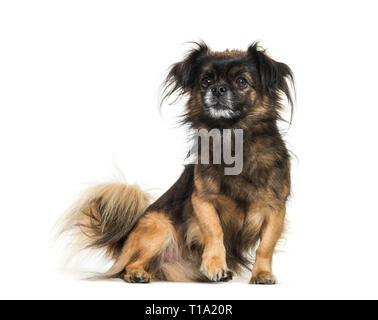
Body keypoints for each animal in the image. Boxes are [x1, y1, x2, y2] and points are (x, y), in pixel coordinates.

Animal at [59, 41, 296, 284]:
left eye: (241, 81)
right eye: (205, 81)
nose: (218, 88)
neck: (232, 138)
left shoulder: (276, 208)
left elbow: (265, 246)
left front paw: (262, 274)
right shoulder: (202, 200)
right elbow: (214, 230)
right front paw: (215, 265)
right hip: (159, 226)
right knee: (128, 266)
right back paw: (137, 274)